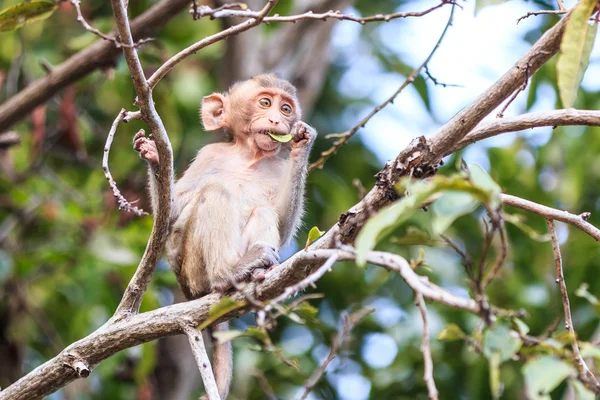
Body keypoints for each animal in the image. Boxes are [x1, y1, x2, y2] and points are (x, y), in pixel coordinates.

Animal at [133, 73, 316, 398]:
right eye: (265, 102)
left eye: (286, 108)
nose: (277, 119)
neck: (249, 156)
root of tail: (189, 291)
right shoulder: (210, 154)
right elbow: (174, 212)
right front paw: (154, 157)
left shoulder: (278, 167)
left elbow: (281, 224)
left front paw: (302, 144)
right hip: (193, 269)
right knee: (216, 191)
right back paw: (226, 273)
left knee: (262, 211)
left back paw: (253, 272)